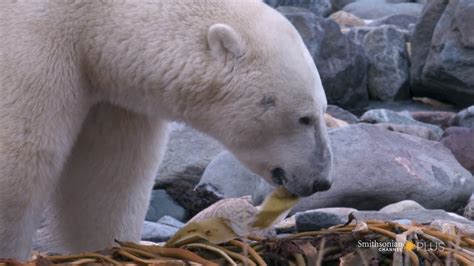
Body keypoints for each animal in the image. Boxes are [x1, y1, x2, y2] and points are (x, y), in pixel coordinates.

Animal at [0, 0, 332, 258]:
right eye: (304, 118)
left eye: (323, 110)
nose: (322, 181)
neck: (93, 14)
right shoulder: (34, 39)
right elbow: (21, 160)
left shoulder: (112, 95)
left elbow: (108, 176)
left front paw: (112, 247)